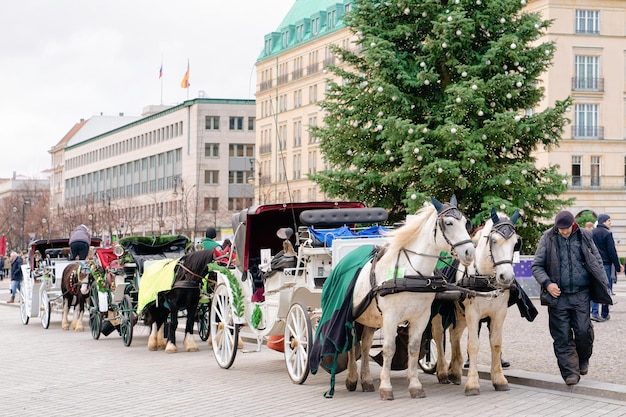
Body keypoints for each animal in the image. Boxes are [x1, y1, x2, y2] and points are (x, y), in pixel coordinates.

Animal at [346, 197, 472, 398]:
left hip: (369, 318)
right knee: (351, 344)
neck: (411, 273)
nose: (470, 252)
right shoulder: (390, 317)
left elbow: (413, 348)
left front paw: (415, 385)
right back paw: (351, 378)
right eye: (449, 223)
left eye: (466, 222)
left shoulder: (421, 317)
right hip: (353, 317)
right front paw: (386, 387)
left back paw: (365, 380)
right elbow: (389, 349)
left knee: (365, 345)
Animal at [434, 208, 516, 394]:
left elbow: (496, 344)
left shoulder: (499, 313)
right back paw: (442, 372)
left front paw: (499, 380)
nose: (506, 277)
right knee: (438, 336)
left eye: (516, 243)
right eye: (493, 240)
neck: (485, 279)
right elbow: (473, 345)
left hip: (459, 313)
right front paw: (472, 383)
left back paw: (454, 372)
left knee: (454, 336)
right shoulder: (473, 314)